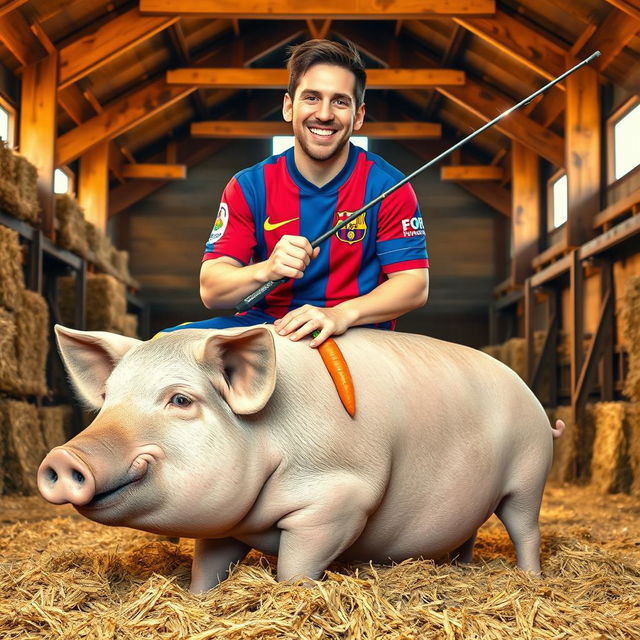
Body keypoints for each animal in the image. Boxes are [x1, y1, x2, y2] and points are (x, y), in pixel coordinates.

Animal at [37, 328, 564, 592]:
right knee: (467, 533)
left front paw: (289, 597)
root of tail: (536, 402)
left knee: (525, 528)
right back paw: (460, 569)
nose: (63, 457)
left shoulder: (341, 497)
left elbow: (296, 564)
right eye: (108, 397)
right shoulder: (224, 523)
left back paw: (530, 578)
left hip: (529, 473)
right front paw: (198, 597)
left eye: (181, 400)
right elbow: (208, 565)